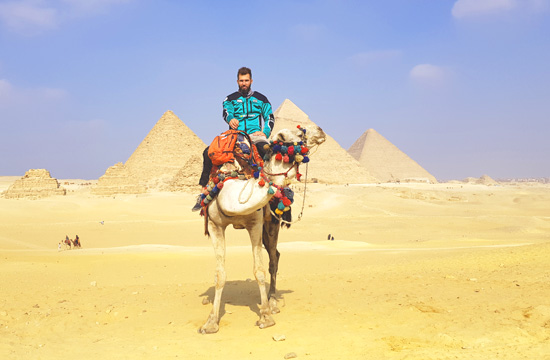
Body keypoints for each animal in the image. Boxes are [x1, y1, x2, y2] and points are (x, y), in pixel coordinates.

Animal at [199, 125, 326, 334]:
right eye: (301, 134)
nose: (320, 130)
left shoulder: (255, 224)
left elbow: (258, 270)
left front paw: (265, 317)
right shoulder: (215, 225)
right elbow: (219, 274)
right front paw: (210, 323)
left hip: (271, 223)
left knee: (274, 259)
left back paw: (273, 302)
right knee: (276, 255)